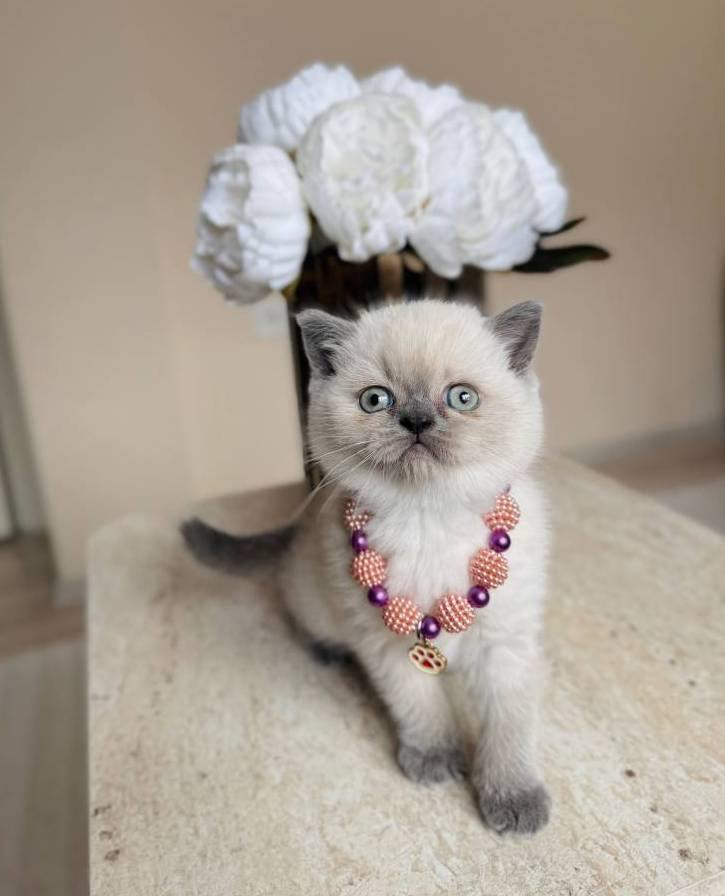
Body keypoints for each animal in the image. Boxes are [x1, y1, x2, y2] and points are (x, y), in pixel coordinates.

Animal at [182, 298, 550, 834]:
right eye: (376, 400)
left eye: (461, 398)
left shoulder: (505, 645)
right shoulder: (387, 646)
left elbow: (508, 727)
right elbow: (421, 707)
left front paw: (515, 799)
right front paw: (435, 760)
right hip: (317, 603)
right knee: (301, 615)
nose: (416, 421)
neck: (427, 521)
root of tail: (294, 531)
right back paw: (326, 653)